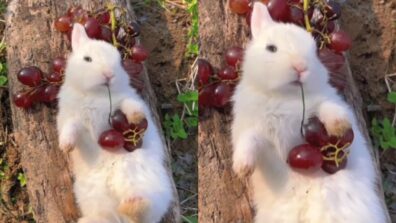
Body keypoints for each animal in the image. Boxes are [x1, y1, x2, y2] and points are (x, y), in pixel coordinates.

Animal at [56, 23, 172, 223]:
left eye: (119, 61)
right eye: (87, 59)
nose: (109, 74)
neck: (96, 95)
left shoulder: (125, 100)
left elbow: (131, 106)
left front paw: (136, 117)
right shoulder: (73, 117)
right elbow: (71, 127)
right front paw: (66, 146)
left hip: (148, 183)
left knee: (144, 213)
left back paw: (134, 205)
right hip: (93, 197)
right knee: (107, 216)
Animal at [230, 3, 388, 223]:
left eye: (315, 51)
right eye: (271, 48)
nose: (300, 67)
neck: (284, 97)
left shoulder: (324, 101)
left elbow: (329, 108)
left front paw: (338, 126)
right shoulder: (255, 129)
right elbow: (250, 140)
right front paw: (243, 168)